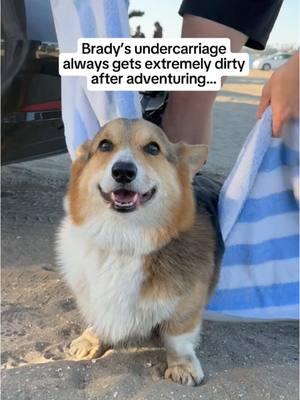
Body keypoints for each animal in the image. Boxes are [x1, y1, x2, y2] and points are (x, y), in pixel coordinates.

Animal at [58, 118, 223, 384]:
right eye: (104, 145)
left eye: (153, 148)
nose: (123, 171)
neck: (124, 236)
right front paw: (89, 341)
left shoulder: (187, 304)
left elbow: (178, 338)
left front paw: (182, 367)